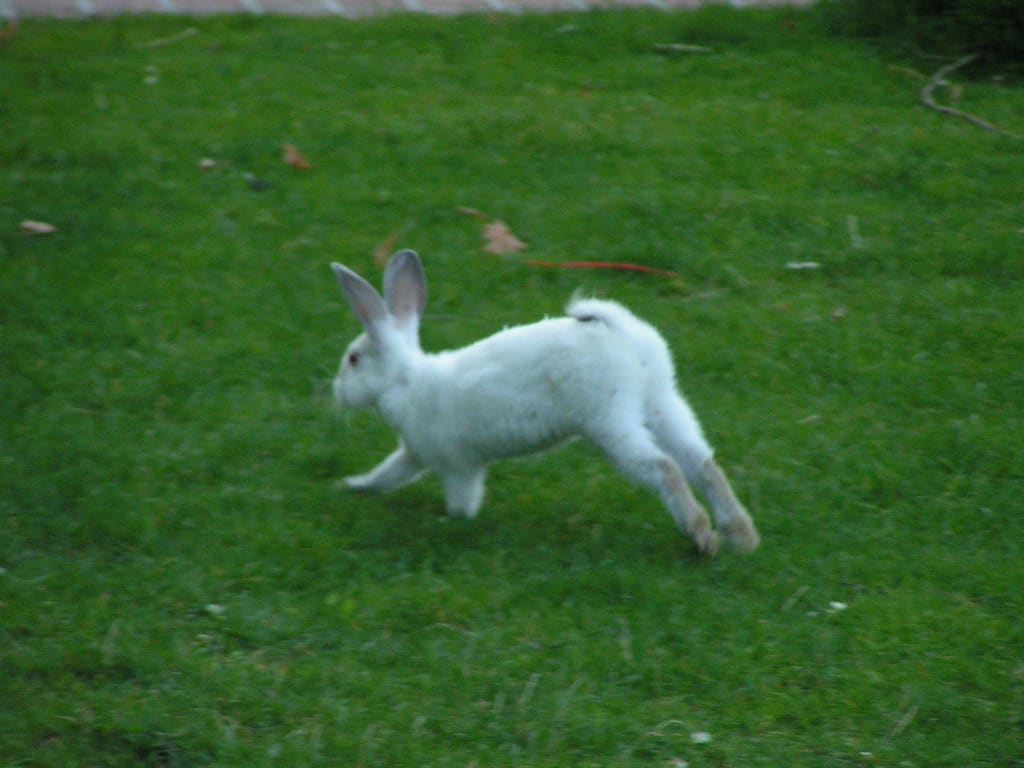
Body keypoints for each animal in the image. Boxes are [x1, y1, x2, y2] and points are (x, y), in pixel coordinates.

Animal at [329, 249, 759, 557]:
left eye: (353, 359)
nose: (336, 391)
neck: (407, 380)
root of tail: (626, 337)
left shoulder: (458, 466)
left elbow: (462, 500)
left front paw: (450, 521)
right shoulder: (414, 454)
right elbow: (388, 473)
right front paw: (353, 485)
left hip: (610, 421)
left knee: (665, 468)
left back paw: (701, 535)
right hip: (661, 403)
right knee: (703, 464)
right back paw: (741, 536)